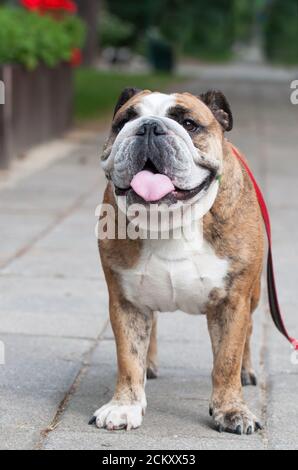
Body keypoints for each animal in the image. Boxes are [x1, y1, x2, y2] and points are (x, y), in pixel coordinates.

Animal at [89, 87, 264, 434]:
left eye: (189, 123)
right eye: (124, 121)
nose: (148, 127)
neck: (170, 221)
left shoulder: (233, 301)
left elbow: (227, 358)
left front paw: (231, 410)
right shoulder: (125, 301)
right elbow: (128, 357)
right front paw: (124, 406)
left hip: (254, 294)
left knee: (248, 333)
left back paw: (247, 370)